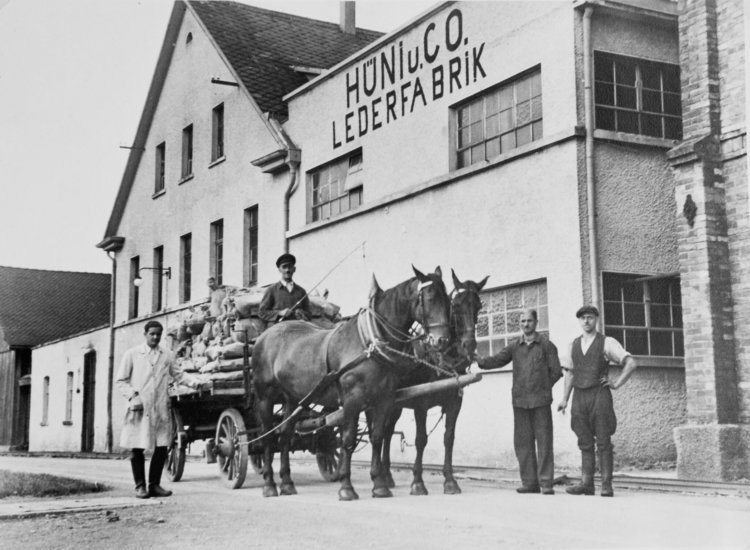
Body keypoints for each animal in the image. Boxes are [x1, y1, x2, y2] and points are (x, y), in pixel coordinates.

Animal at [253, 266, 452, 500]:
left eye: (447, 299)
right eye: (429, 298)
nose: (442, 341)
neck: (370, 341)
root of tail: (262, 338)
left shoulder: (383, 399)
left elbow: (377, 437)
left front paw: (379, 486)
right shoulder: (352, 400)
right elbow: (347, 440)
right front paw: (346, 488)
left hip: (293, 398)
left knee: (284, 435)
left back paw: (287, 483)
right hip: (265, 397)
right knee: (267, 437)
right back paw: (269, 484)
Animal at [382, 270, 488, 498]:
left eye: (478, 306)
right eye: (455, 305)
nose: (469, 345)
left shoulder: (454, 404)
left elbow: (449, 437)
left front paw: (450, 481)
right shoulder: (421, 404)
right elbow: (421, 439)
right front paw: (417, 482)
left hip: (394, 406)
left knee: (386, 431)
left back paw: (386, 475)